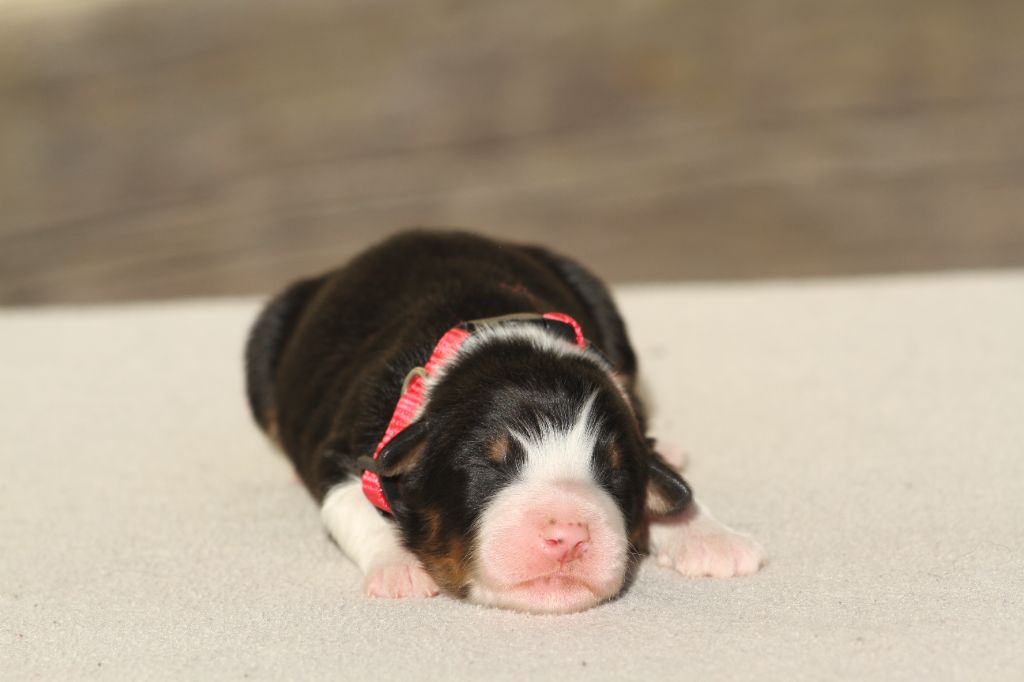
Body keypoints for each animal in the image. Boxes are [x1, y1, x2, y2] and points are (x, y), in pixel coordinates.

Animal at [245, 229, 761, 610]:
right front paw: (401, 568)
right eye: (489, 465)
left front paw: (712, 538)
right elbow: (350, 501)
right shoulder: (345, 445)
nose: (567, 536)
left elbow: (666, 484)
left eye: (614, 472)